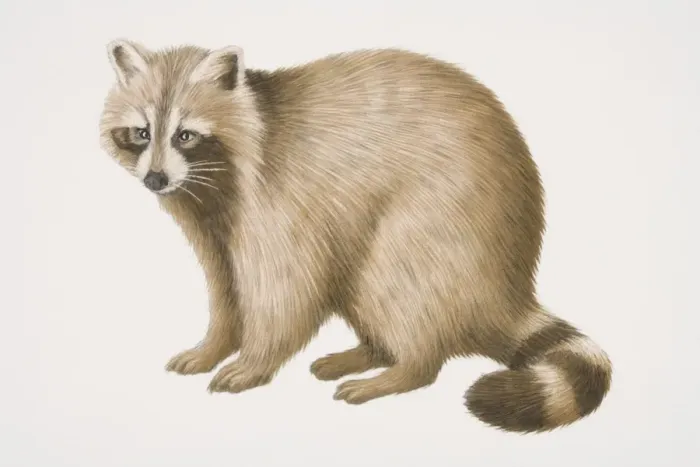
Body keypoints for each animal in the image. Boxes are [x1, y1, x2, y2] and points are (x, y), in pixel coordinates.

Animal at [99, 39, 612, 433]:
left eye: (186, 135)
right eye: (141, 132)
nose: (155, 180)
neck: (211, 182)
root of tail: (510, 285)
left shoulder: (282, 197)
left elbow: (287, 288)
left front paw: (256, 359)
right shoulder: (208, 219)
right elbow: (224, 285)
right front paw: (215, 344)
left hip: (440, 224)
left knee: (395, 284)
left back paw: (405, 367)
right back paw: (371, 352)